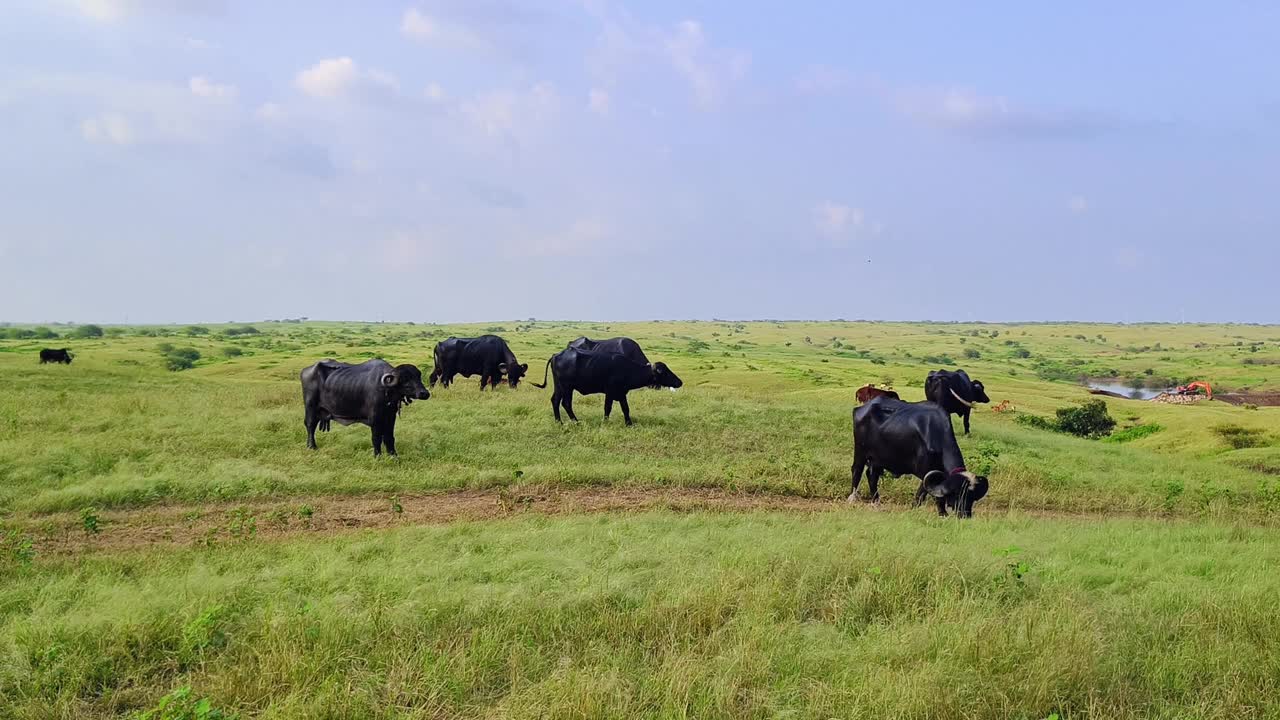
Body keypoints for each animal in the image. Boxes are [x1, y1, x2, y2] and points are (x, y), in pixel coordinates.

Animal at [299, 356, 430, 456]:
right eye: (405, 379)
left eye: (418, 376)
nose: (424, 393)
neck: (386, 390)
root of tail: (305, 371)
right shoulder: (375, 420)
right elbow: (376, 438)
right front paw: (377, 455)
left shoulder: (390, 417)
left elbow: (389, 437)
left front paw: (393, 454)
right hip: (310, 406)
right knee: (310, 425)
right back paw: (312, 446)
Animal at [532, 345, 686, 422]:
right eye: (665, 372)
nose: (679, 382)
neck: (628, 369)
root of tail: (556, 355)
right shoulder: (610, 392)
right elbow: (607, 408)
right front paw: (605, 422)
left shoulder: (622, 393)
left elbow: (626, 409)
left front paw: (629, 423)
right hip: (567, 387)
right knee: (566, 403)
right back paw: (575, 421)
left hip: (559, 386)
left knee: (555, 401)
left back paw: (559, 422)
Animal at [849, 392, 988, 515]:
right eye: (957, 494)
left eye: (972, 496)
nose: (965, 514)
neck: (936, 434)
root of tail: (861, 408)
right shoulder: (925, 472)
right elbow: (926, 493)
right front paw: (941, 513)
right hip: (860, 452)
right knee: (857, 470)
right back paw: (852, 498)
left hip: (878, 459)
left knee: (872, 475)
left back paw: (876, 501)